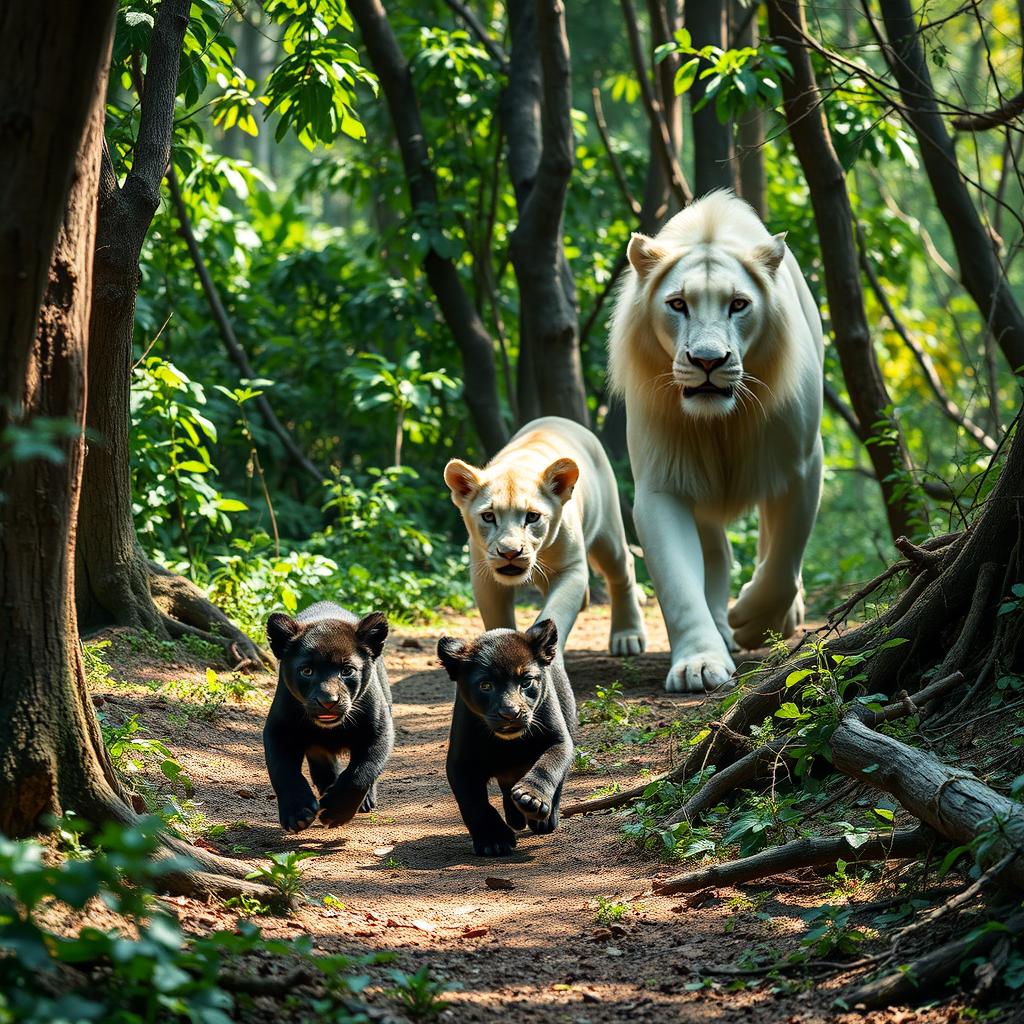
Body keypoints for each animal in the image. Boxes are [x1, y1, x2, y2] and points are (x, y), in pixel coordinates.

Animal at [444, 416, 647, 657]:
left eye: (532, 516)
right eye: (488, 516)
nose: (510, 553)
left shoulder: (571, 569)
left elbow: (556, 612)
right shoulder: (484, 577)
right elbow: (497, 620)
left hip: (608, 534)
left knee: (623, 569)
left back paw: (627, 636)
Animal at [608, 190, 823, 693]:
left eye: (739, 304)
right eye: (678, 304)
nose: (708, 360)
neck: (720, 423)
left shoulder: (802, 465)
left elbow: (783, 563)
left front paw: (753, 619)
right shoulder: (662, 485)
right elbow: (679, 584)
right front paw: (700, 663)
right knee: (716, 553)